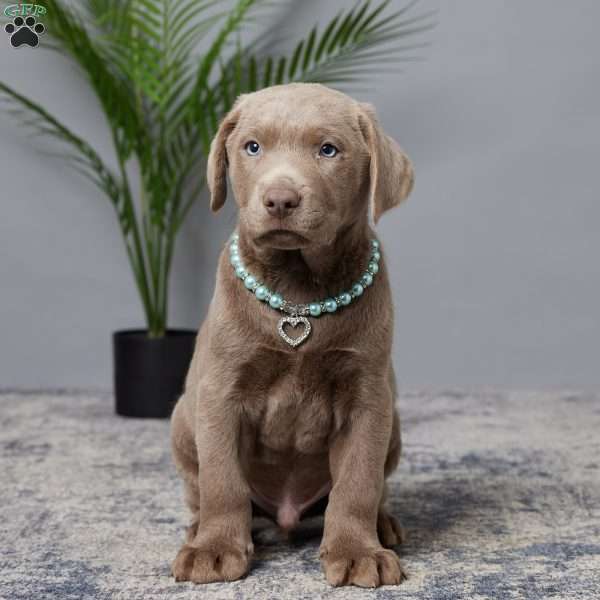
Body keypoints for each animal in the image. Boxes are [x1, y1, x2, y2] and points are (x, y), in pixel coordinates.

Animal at [169, 82, 412, 588]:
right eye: (252, 147)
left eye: (328, 150)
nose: (280, 200)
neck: (298, 290)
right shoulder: (220, 392)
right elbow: (222, 480)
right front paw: (215, 548)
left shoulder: (368, 398)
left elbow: (358, 482)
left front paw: (358, 552)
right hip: (183, 418)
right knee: (201, 488)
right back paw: (198, 529)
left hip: (395, 422)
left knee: (372, 488)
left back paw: (382, 525)